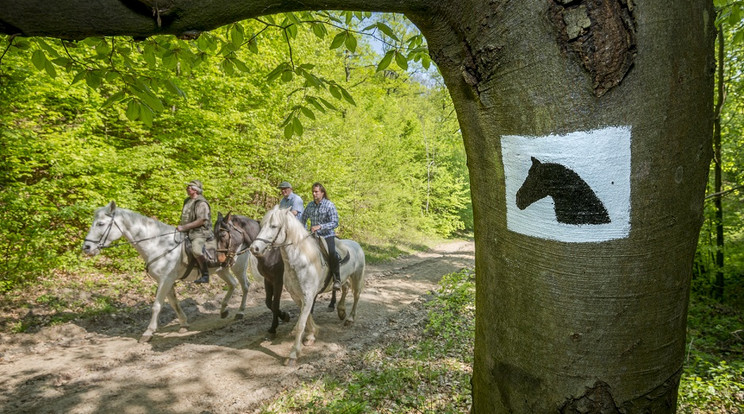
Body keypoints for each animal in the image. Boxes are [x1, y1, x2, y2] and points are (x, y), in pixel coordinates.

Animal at [83, 201, 254, 342]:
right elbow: (174, 303)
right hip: (222, 270)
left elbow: (157, 306)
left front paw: (148, 332)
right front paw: (184, 324)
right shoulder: (166, 280)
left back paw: (240, 312)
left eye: (100, 224)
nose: (86, 248)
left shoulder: (166, 279)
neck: (158, 244)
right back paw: (224, 309)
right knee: (232, 284)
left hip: (238, 267)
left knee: (245, 286)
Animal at [250, 205, 366, 364]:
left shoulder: (308, 296)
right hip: (345, 278)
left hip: (357, 276)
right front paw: (312, 334)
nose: (254, 248)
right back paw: (341, 311)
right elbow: (306, 317)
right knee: (345, 289)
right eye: (262, 226)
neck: (301, 261)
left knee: (356, 296)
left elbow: (301, 323)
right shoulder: (298, 296)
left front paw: (293, 354)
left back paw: (349, 319)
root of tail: (357, 245)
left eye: (274, 226)